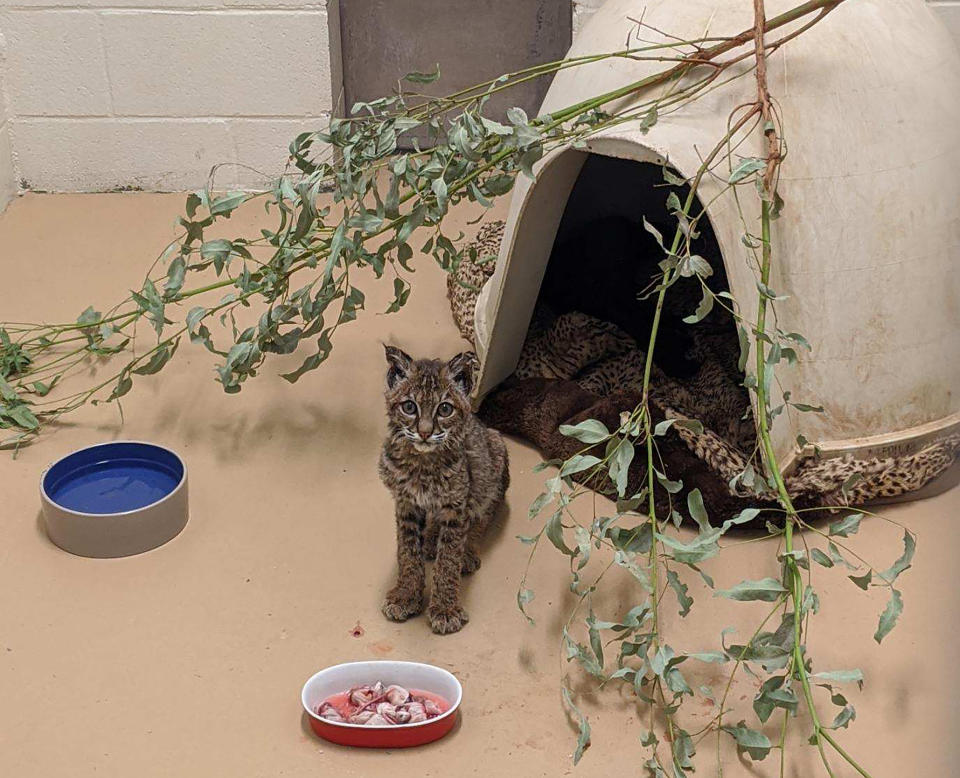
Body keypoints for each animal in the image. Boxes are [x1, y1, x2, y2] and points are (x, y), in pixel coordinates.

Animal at [378, 344, 510, 632]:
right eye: (409, 407)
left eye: (445, 409)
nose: (425, 433)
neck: (422, 461)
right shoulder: (405, 502)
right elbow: (407, 552)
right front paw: (406, 595)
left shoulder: (456, 506)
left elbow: (448, 558)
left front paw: (445, 609)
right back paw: (430, 540)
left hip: (495, 455)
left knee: (484, 514)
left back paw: (467, 552)